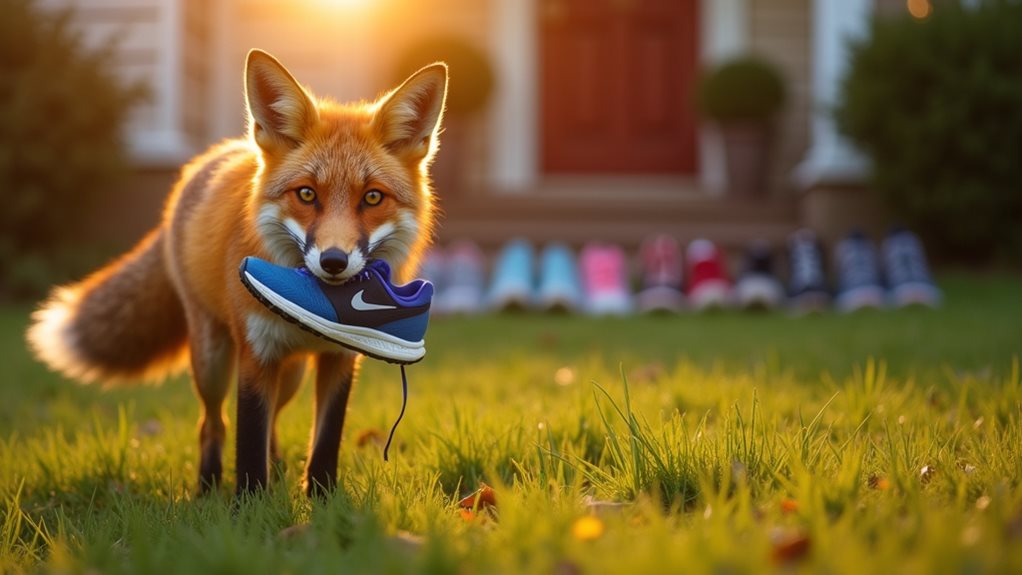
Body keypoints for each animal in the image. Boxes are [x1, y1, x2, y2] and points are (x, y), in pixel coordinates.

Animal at [25, 49, 447, 497]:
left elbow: (324, 438)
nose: (333, 261)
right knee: (212, 423)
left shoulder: (339, 358)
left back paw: (277, 470)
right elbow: (248, 436)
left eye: (372, 198)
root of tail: (210, 158)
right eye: (306, 194)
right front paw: (249, 503)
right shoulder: (256, 351)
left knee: (274, 421)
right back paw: (208, 486)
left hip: (292, 373)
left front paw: (322, 498)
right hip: (212, 361)